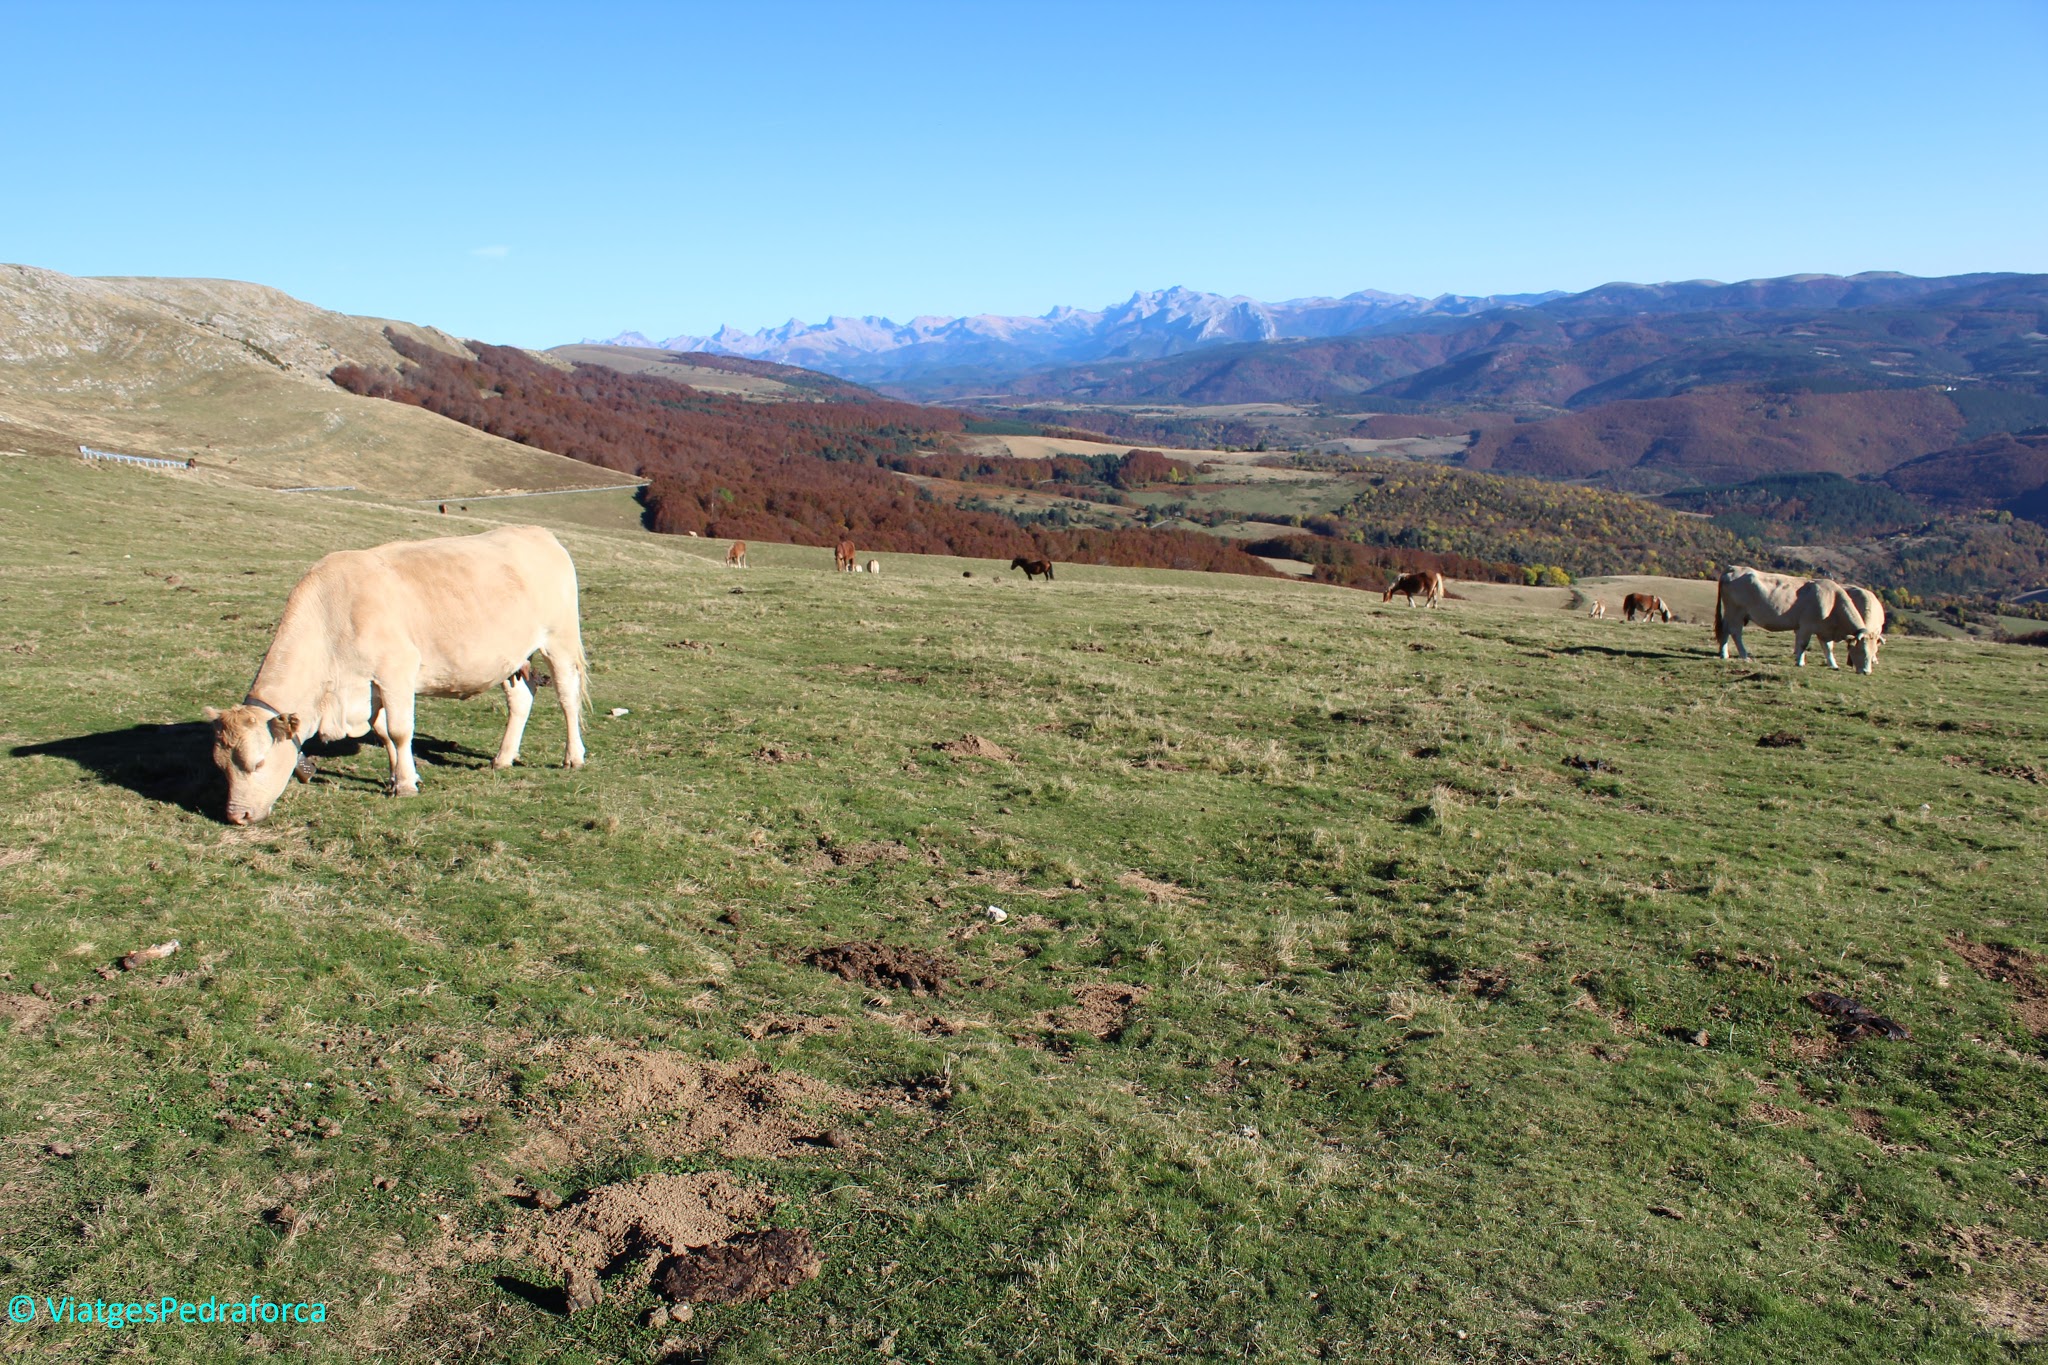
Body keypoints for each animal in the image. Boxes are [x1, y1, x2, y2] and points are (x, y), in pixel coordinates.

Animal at [203, 519, 589, 822]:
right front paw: (394, 778)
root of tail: (538, 534)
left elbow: (401, 731)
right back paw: (503, 758)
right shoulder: (370, 687)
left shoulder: (396, 671)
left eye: (258, 763)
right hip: (511, 658)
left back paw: (573, 757)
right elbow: (384, 732)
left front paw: (404, 785)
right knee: (521, 699)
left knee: (567, 697)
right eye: (221, 766)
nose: (237, 816)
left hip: (560, 640)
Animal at [1712, 564, 1884, 671]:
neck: (1833, 601)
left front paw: (1833, 664)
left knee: (1726, 630)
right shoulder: (1806, 626)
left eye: (1874, 651)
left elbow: (1828, 648)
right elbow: (1803, 644)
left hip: (1734, 613)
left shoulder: (1824, 630)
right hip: (1736, 611)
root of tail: (1734, 568)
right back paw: (1741, 655)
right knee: (1735, 631)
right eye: (1862, 651)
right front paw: (1800, 662)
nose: (1867, 671)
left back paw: (1725, 654)